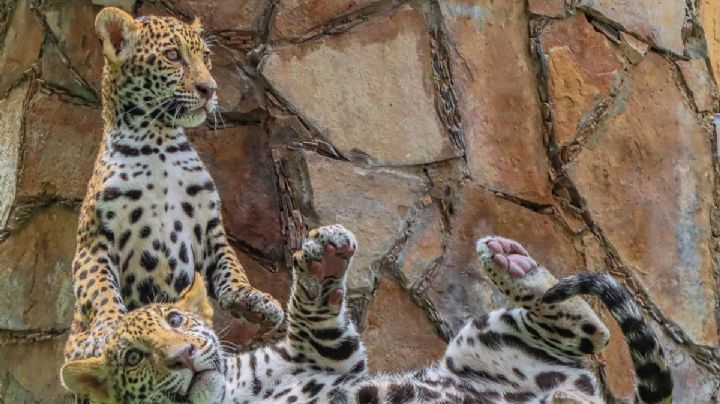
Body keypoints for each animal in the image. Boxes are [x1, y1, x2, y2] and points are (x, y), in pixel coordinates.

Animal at [61, 224, 672, 403]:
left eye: (177, 322)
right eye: (133, 358)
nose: (185, 355)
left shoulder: (316, 360)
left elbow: (312, 315)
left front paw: (323, 258)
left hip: (482, 340)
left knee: (588, 328)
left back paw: (511, 263)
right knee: (590, 331)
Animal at [64, 7, 283, 362]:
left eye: (205, 56)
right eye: (172, 56)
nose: (210, 88)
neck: (158, 142)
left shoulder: (208, 226)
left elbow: (231, 265)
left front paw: (252, 298)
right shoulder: (94, 237)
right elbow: (98, 289)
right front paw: (107, 328)